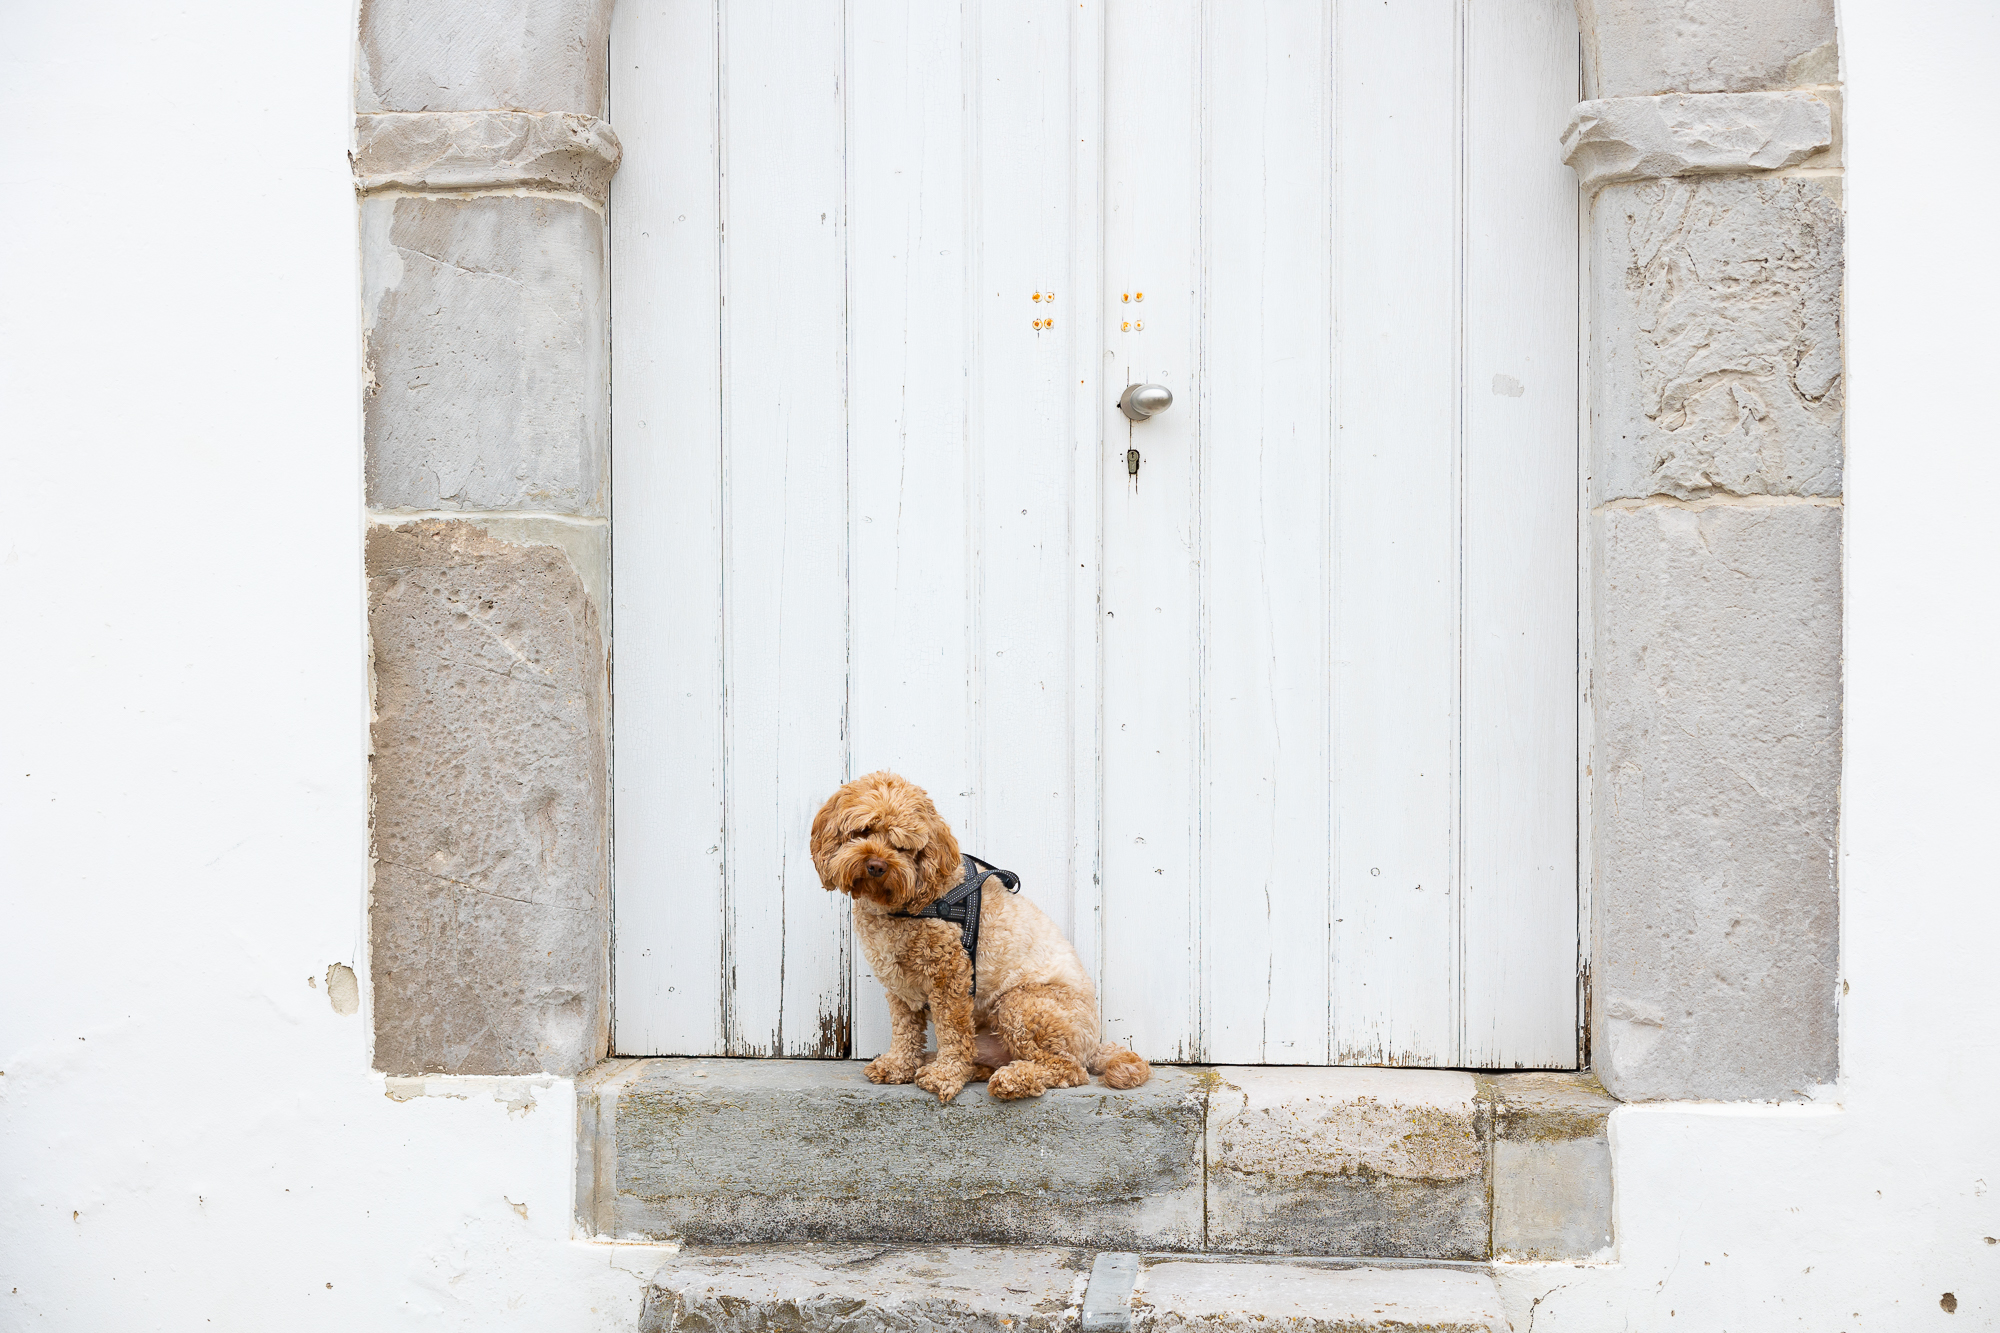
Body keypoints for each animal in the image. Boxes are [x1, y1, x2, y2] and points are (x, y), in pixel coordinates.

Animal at [812, 768, 1160, 1096]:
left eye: (902, 845)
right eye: (862, 831)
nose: (876, 866)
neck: (914, 900)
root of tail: (1094, 1047)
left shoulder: (951, 976)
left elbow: (952, 1032)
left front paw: (944, 1075)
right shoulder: (900, 985)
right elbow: (904, 1029)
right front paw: (898, 1066)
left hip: (1020, 1004)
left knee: (1069, 1069)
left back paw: (1013, 1079)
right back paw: (968, 1068)